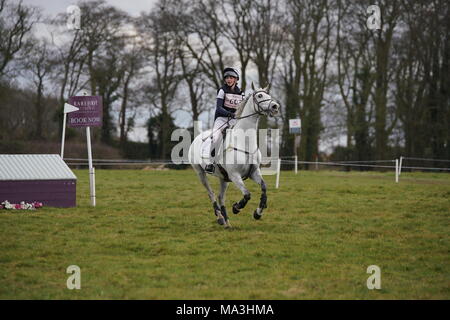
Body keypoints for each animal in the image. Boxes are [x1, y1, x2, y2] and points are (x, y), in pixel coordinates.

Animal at [188, 84, 280, 226]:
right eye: (260, 96)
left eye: (268, 95)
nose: (275, 106)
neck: (245, 141)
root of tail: (197, 137)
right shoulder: (235, 175)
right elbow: (247, 194)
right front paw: (237, 207)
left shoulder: (253, 172)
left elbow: (264, 188)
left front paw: (258, 213)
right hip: (200, 173)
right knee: (211, 194)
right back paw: (220, 218)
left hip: (223, 178)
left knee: (221, 197)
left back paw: (227, 222)